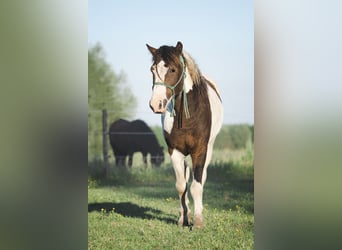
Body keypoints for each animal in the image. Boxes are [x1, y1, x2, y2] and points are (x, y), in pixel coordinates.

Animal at [146, 41, 223, 229]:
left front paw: (198, 221)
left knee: (201, 178)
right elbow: (181, 186)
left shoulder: (200, 150)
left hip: (208, 150)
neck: (188, 116)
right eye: (152, 69)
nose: (156, 104)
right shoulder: (175, 151)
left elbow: (197, 185)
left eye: (173, 69)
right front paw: (183, 219)